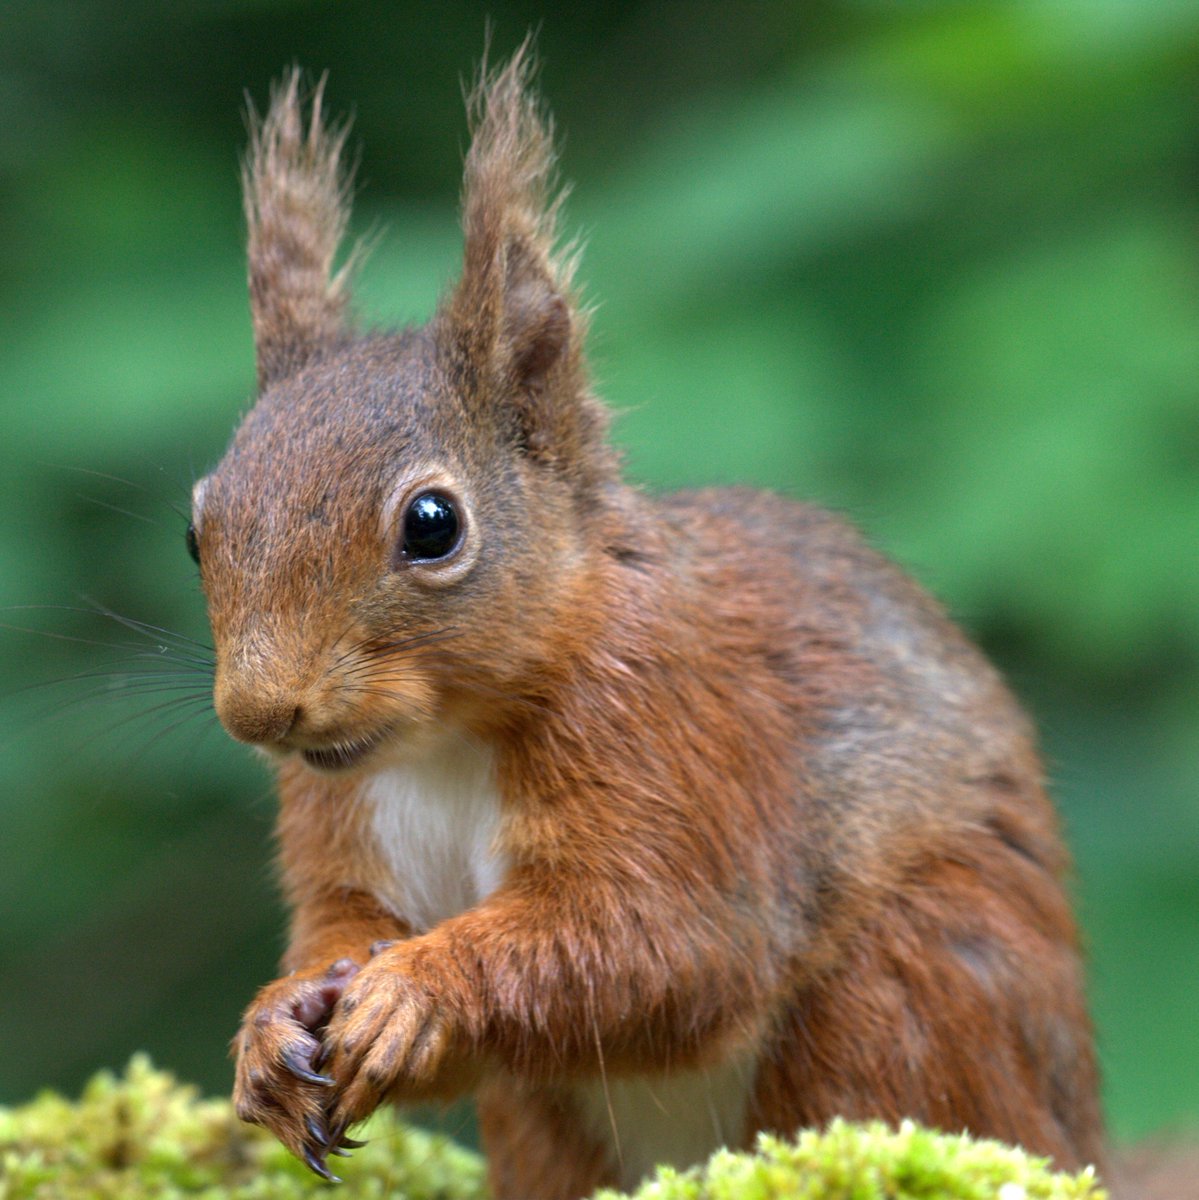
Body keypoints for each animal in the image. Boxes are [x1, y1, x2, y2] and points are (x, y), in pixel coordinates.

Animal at [192, 48, 1108, 1199]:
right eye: (196, 524)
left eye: (432, 525)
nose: (260, 713)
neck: (444, 744)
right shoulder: (337, 816)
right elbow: (342, 926)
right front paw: (271, 1027)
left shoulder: (674, 736)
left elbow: (665, 944)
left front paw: (417, 990)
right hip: (539, 1120)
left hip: (913, 984)